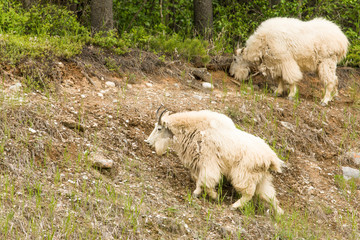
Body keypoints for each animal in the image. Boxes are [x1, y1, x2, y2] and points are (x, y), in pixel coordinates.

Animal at [146, 107, 284, 216]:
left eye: (159, 128)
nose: (147, 142)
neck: (194, 130)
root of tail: (271, 159)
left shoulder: (208, 161)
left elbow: (205, 180)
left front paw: (211, 195)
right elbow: (199, 179)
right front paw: (202, 193)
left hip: (244, 174)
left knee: (249, 193)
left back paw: (234, 206)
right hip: (262, 178)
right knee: (268, 195)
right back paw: (279, 213)